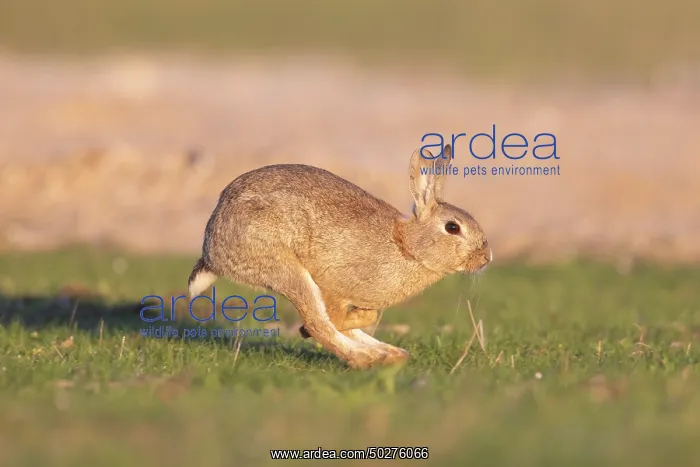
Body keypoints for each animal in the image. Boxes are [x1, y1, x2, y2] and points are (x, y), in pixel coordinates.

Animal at [188, 143, 492, 369]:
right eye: (452, 227)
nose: (486, 257)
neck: (407, 247)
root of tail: (212, 251)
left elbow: (361, 318)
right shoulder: (334, 286)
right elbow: (336, 320)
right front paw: (309, 331)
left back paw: (390, 354)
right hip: (284, 267)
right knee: (318, 322)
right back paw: (364, 358)